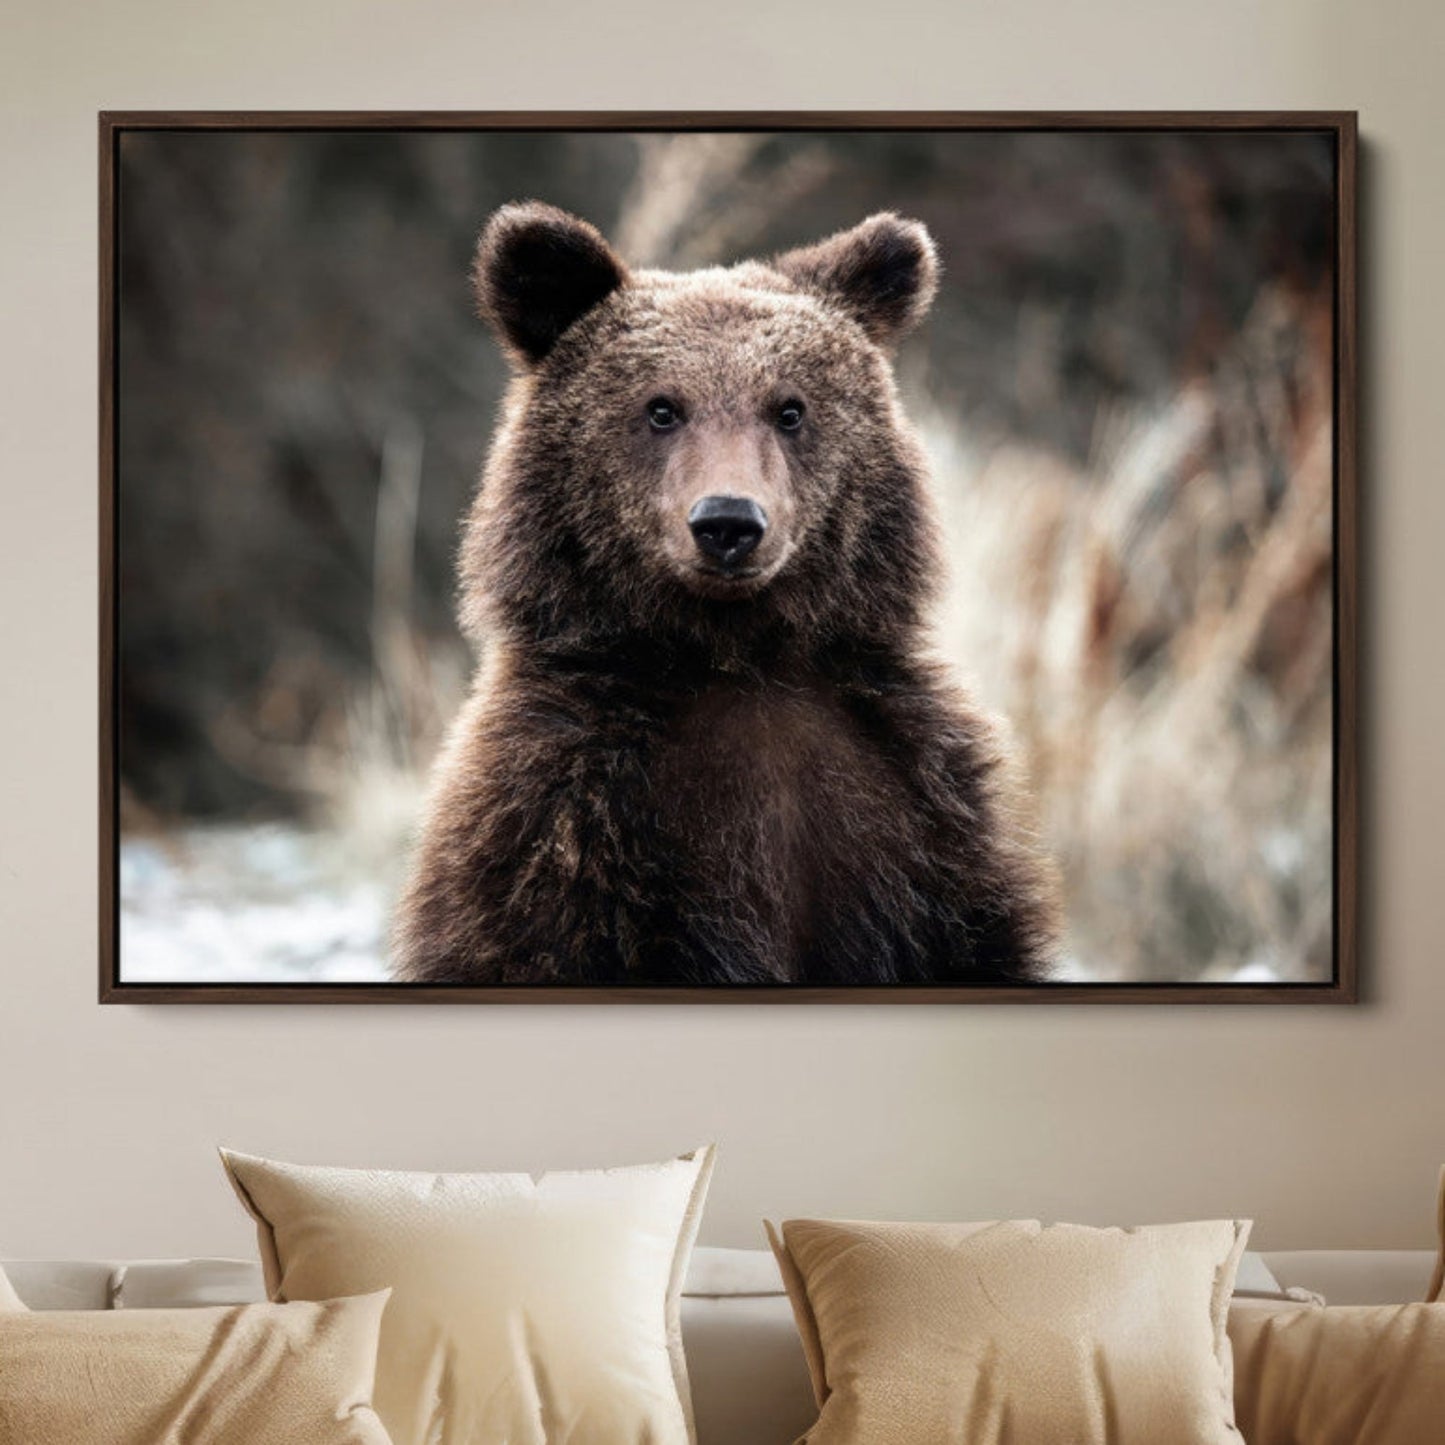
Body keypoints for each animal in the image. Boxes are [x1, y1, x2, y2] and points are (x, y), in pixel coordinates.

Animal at [391, 202, 1061, 986]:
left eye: (790, 409)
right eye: (660, 408)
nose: (728, 523)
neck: (738, 656)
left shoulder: (919, 818)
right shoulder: (561, 824)